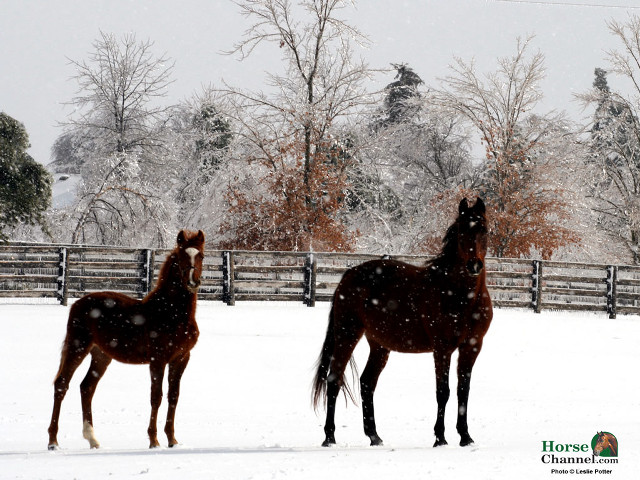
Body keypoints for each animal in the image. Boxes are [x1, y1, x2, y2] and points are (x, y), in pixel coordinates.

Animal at [47, 230, 205, 450]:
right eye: (182, 256)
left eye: (201, 256)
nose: (192, 282)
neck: (172, 313)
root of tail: (76, 304)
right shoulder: (158, 359)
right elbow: (156, 397)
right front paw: (154, 441)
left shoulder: (181, 358)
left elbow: (173, 396)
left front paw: (172, 440)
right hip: (78, 347)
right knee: (62, 384)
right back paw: (53, 441)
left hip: (101, 355)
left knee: (87, 387)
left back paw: (93, 440)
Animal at [312, 198, 492, 448]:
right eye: (461, 231)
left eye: (484, 229)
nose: (474, 265)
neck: (459, 296)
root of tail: (349, 274)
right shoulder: (442, 348)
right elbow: (443, 392)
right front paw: (440, 438)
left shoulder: (472, 346)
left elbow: (462, 391)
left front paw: (465, 437)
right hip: (347, 334)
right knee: (334, 380)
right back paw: (329, 437)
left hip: (379, 345)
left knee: (367, 383)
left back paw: (374, 436)